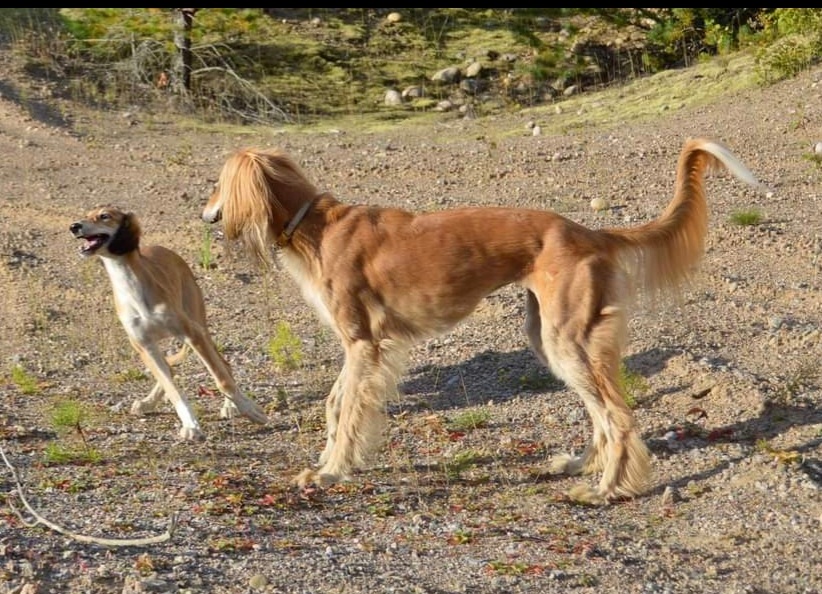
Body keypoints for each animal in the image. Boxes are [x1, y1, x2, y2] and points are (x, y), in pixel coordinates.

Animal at [70, 205, 269, 440]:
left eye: (104, 216)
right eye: (86, 214)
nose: (74, 226)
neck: (132, 288)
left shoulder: (192, 334)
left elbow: (222, 379)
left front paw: (250, 409)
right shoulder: (144, 346)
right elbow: (173, 389)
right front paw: (191, 425)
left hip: (199, 323)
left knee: (223, 365)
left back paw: (230, 406)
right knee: (170, 372)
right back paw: (147, 403)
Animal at [201, 138, 763, 503]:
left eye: (217, 185)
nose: (204, 214)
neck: (316, 229)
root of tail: (591, 233)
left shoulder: (363, 343)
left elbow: (348, 410)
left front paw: (332, 471)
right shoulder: (361, 347)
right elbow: (336, 403)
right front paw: (327, 463)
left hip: (567, 341)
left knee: (618, 417)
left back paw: (606, 489)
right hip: (553, 340)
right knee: (603, 415)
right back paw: (582, 466)